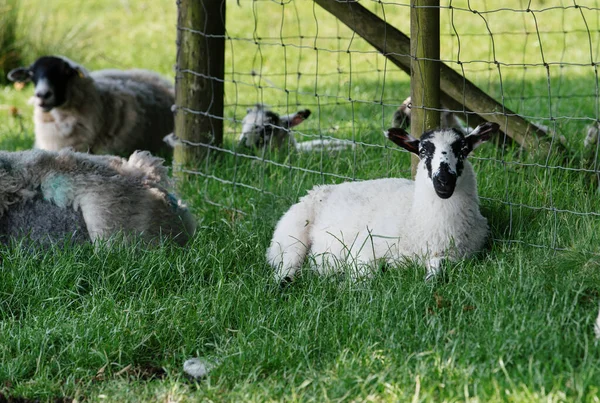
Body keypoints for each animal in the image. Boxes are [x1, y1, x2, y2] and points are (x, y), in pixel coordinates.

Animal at [264, 121, 500, 282]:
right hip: (291, 237)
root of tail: (319, 189)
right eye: (423, 151)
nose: (444, 182)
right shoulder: (364, 249)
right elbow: (364, 277)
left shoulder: (454, 256)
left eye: (463, 149)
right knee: (285, 270)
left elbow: (437, 272)